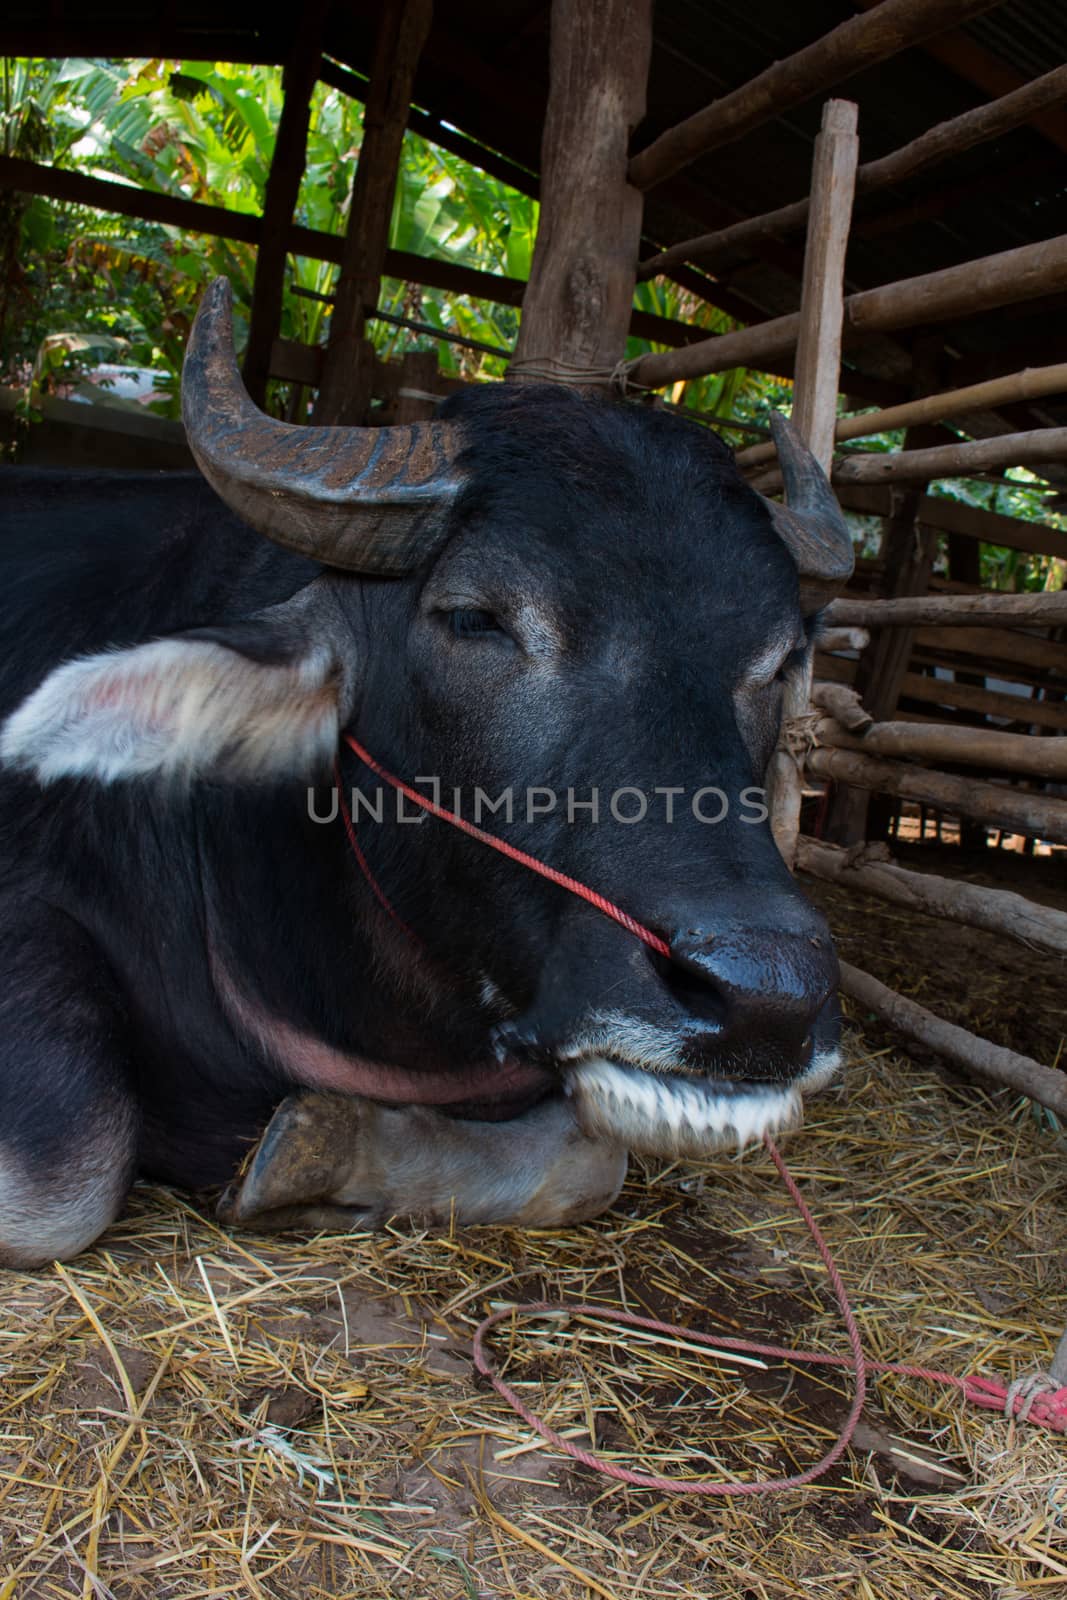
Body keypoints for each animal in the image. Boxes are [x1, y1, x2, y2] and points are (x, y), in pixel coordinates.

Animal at [0, 281, 851, 1267]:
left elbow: (588, 1160)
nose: (766, 998)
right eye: (475, 618)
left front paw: (318, 1153)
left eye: (780, 661)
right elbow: (59, 1185)